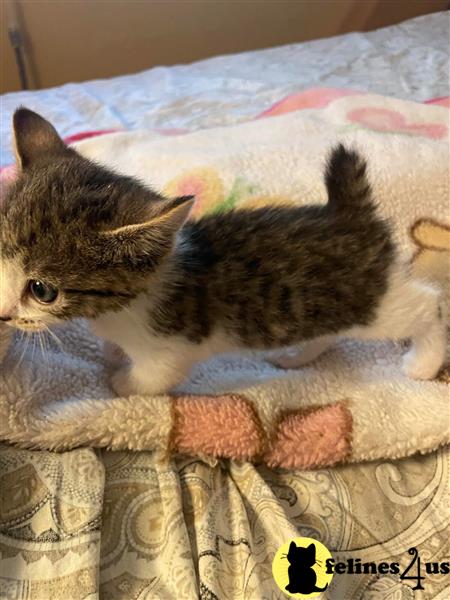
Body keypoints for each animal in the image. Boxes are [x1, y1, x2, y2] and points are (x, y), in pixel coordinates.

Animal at [0, 109, 444, 398]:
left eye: (42, 290)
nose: (2, 314)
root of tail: (350, 214)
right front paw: (111, 354)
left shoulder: (168, 351)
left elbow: (152, 379)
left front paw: (121, 382)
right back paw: (297, 356)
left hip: (374, 304)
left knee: (428, 304)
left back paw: (424, 363)